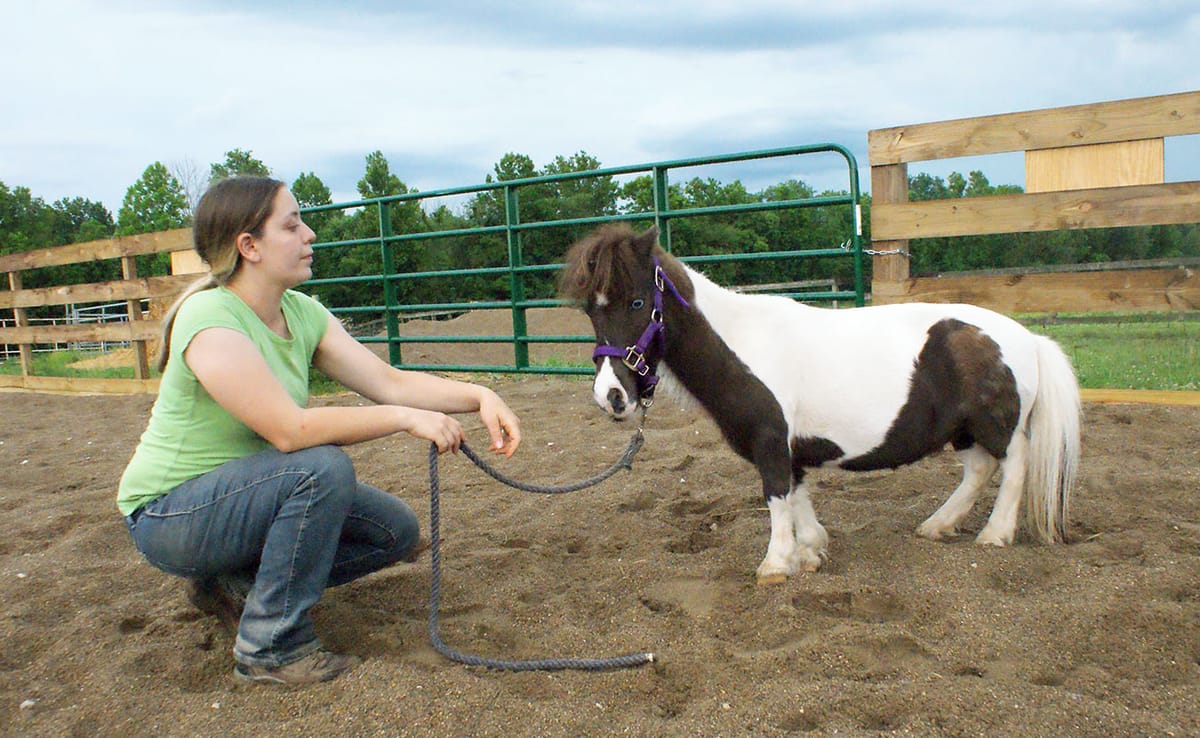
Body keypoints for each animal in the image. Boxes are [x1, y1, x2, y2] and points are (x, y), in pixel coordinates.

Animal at [559, 224, 1082, 584]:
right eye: (590, 310)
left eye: (636, 302)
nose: (611, 396)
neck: (741, 345)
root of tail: (1027, 338)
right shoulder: (788, 446)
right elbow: (796, 492)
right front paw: (810, 550)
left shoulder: (770, 440)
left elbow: (776, 495)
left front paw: (776, 564)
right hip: (963, 430)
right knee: (978, 470)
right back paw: (938, 525)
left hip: (998, 427)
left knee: (1013, 467)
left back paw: (995, 534)